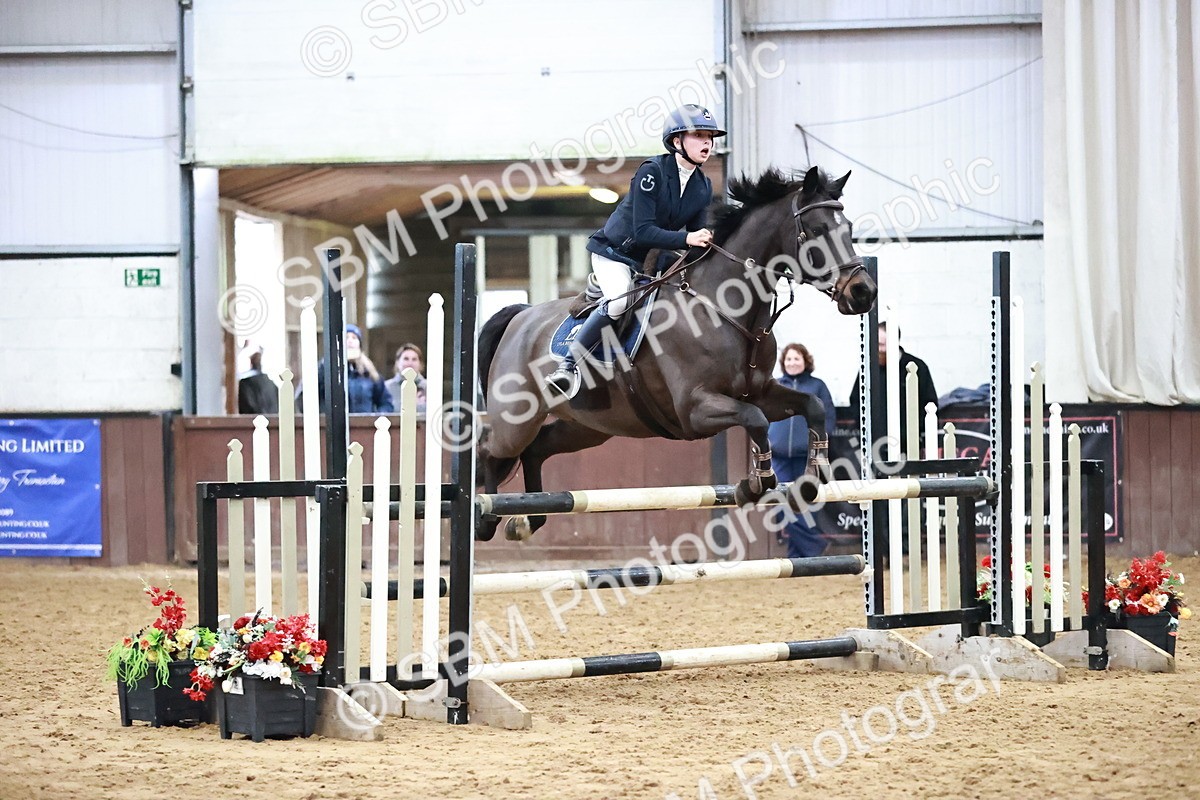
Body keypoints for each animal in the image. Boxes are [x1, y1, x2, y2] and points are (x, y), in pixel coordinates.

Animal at [475, 166, 877, 541]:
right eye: (818, 229)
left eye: (848, 228)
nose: (863, 292)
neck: (724, 307)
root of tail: (520, 317)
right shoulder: (695, 409)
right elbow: (756, 421)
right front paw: (754, 484)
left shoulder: (761, 392)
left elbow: (813, 406)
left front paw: (808, 482)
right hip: (516, 421)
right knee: (490, 450)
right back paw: (484, 518)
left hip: (589, 426)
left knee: (536, 450)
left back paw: (526, 520)